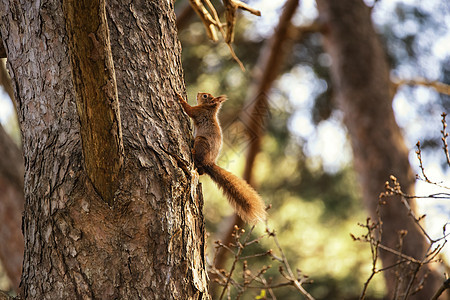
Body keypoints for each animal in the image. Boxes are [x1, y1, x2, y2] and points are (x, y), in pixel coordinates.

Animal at [177, 91, 268, 223]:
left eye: (205, 96)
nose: (199, 93)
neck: (208, 109)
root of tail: (209, 162)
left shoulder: (199, 112)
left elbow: (188, 109)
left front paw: (179, 97)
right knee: (201, 171)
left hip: (201, 142)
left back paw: (193, 152)